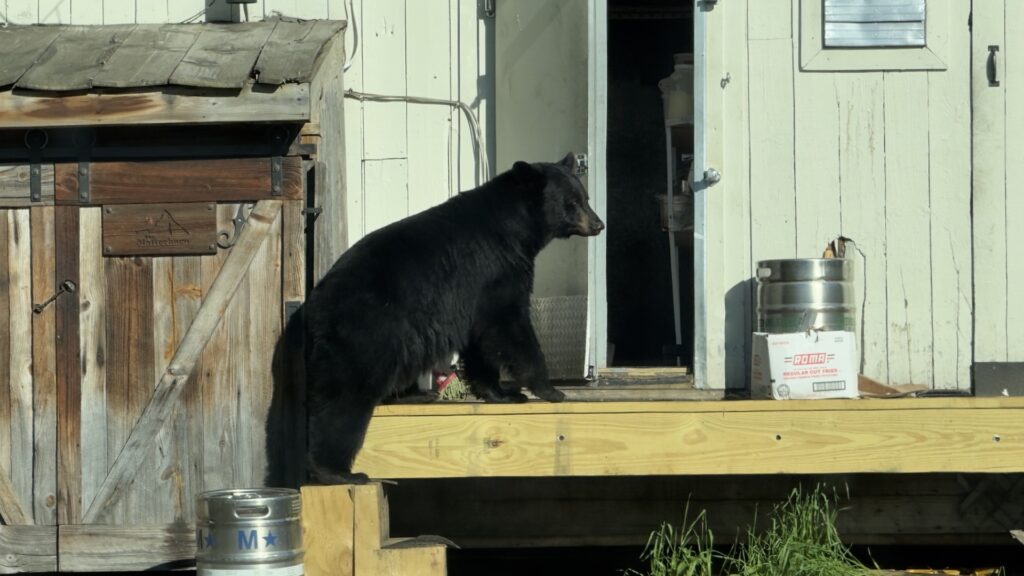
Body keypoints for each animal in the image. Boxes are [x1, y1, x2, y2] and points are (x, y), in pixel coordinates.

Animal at [303, 152, 604, 484]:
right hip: (367, 331)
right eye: (571, 202)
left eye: (585, 197)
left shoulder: (476, 292)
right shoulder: (496, 270)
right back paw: (337, 471)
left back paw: (417, 396)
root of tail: (315, 306)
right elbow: (509, 325)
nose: (598, 223)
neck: (515, 229)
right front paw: (549, 390)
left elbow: (481, 338)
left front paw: (502, 393)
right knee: (346, 398)